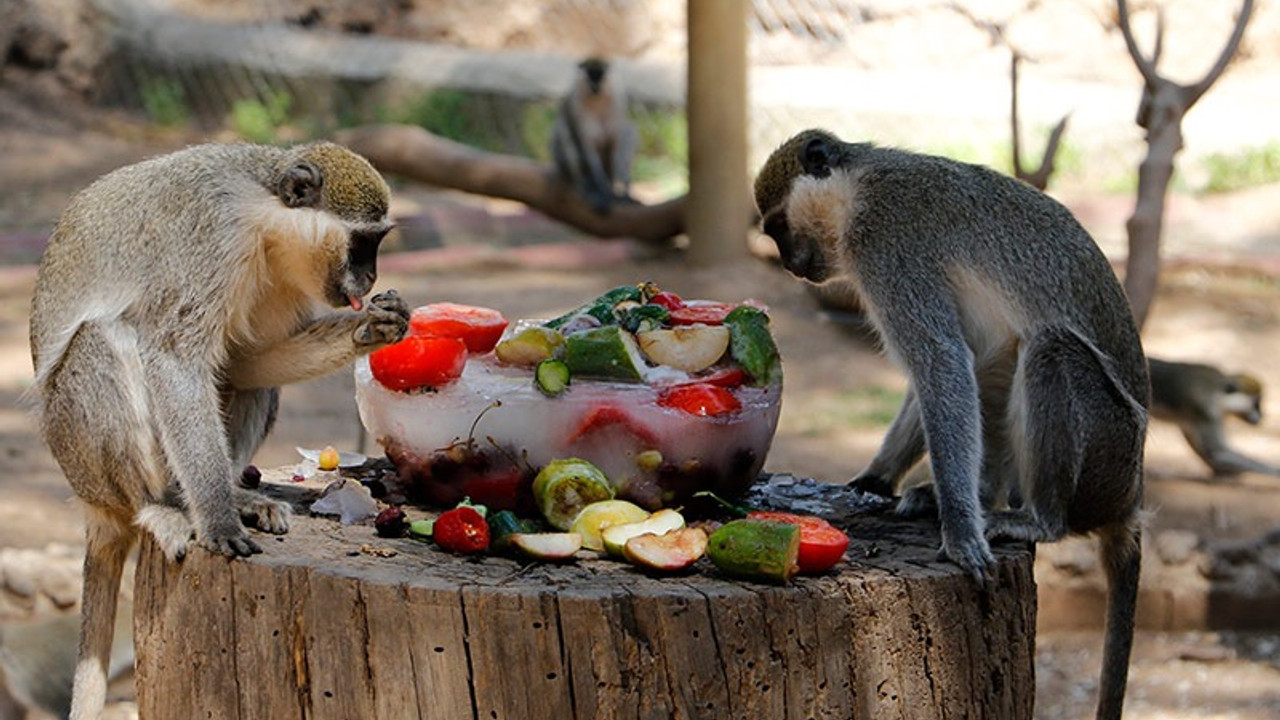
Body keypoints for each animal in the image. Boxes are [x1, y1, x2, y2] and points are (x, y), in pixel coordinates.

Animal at [28, 140, 409, 717]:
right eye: (363, 242)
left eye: (378, 243)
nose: (368, 282)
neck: (264, 218)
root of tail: (93, 506)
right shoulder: (214, 239)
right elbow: (174, 356)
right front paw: (218, 519)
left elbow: (249, 360)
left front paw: (373, 327)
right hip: (78, 453)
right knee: (105, 339)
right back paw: (166, 504)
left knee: (240, 371)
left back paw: (240, 495)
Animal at [547, 55, 637, 212]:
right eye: (590, 74)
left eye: (599, 75)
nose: (595, 85)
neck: (598, 99)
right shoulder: (577, 104)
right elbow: (588, 147)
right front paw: (603, 189)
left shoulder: (618, 99)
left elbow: (616, 142)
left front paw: (623, 189)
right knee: (563, 132)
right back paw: (585, 186)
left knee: (629, 131)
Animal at [747, 127, 1152, 717]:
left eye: (777, 227)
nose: (789, 266)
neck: (859, 186)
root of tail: (1131, 500)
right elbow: (950, 367)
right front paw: (874, 480)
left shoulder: (886, 245)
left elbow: (940, 360)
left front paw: (961, 533)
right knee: (997, 362)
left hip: (1109, 450)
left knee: (1049, 351)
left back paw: (1034, 519)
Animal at [1146, 353, 1274, 476]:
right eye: (1256, 404)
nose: (1261, 416)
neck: (1218, 395)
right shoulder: (1206, 411)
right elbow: (1218, 452)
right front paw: (1275, 470)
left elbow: (1210, 452)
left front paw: (1224, 470)